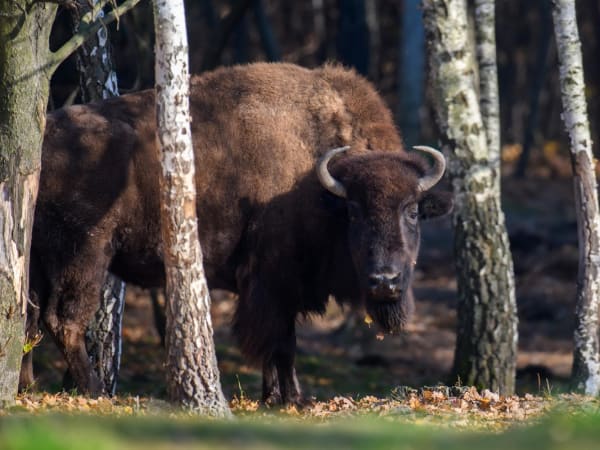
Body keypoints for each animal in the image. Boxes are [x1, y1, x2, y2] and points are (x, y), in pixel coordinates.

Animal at [22, 62, 450, 404]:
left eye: (413, 211)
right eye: (354, 212)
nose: (385, 281)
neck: (319, 184)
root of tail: (42, 141)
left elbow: (277, 344)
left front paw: (273, 396)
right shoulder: (271, 280)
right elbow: (281, 342)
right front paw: (293, 399)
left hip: (38, 259)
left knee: (29, 315)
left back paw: (27, 386)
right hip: (84, 255)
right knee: (63, 320)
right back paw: (96, 392)